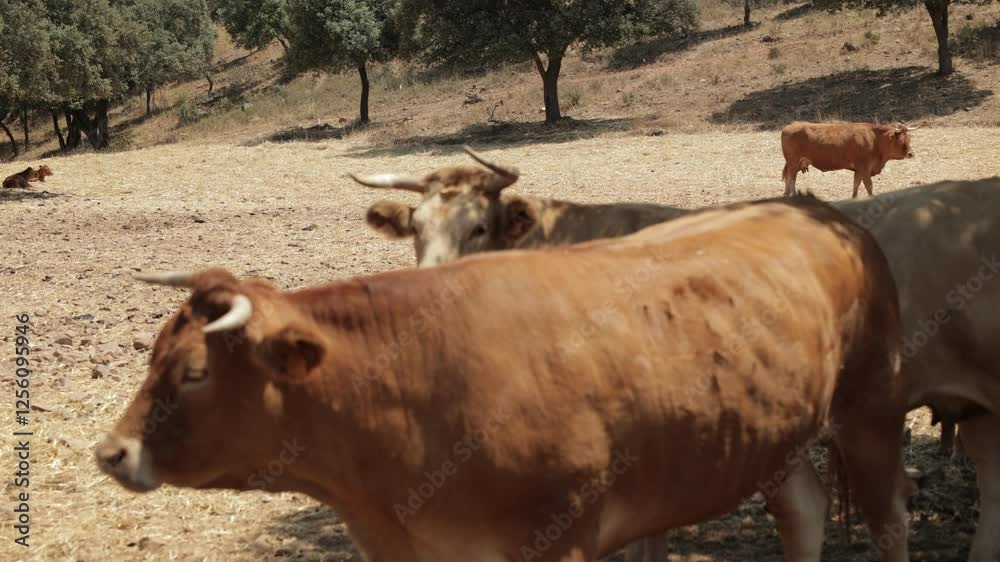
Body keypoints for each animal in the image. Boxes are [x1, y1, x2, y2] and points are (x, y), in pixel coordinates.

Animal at [97, 195, 912, 562]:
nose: (111, 452)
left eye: (194, 372)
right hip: (772, 430)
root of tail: (820, 212)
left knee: (889, 520)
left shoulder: (561, 540)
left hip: (872, 409)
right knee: (802, 510)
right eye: (151, 355)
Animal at [780, 121, 917, 198]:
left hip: (796, 163)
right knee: (792, 179)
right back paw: (793, 195)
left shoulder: (858, 170)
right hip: (793, 162)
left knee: (787, 176)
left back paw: (786, 194)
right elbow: (869, 185)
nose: (911, 153)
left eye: (909, 138)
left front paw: (854, 198)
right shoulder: (864, 168)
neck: (875, 140)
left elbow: (856, 184)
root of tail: (790, 125)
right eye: (900, 140)